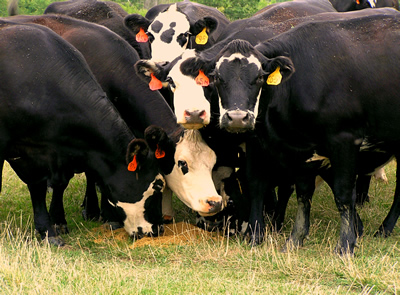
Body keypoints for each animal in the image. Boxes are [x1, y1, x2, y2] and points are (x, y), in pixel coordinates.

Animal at [186, 9, 400, 254]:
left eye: (259, 78)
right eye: (218, 78)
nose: (238, 118)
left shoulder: (345, 140)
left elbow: (344, 194)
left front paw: (346, 244)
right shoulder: (301, 148)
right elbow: (303, 194)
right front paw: (295, 239)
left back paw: (385, 228)